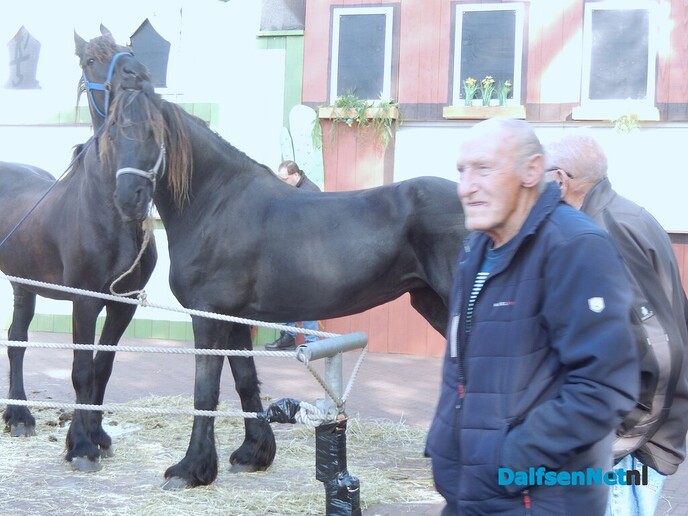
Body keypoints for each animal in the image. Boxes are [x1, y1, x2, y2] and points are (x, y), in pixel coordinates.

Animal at [0, 29, 157, 472]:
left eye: (129, 49)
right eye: (89, 60)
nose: (137, 74)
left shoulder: (124, 303)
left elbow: (102, 369)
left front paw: (96, 435)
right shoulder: (84, 301)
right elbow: (81, 370)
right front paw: (81, 446)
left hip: (23, 283)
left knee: (17, 339)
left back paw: (19, 416)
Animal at [102, 83, 465, 488]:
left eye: (154, 134)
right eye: (113, 134)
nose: (127, 198)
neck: (215, 205)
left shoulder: (209, 317)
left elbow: (205, 391)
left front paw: (190, 470)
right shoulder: (235, 320)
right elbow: (245, 382)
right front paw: (252, 454)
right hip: (433, 303)